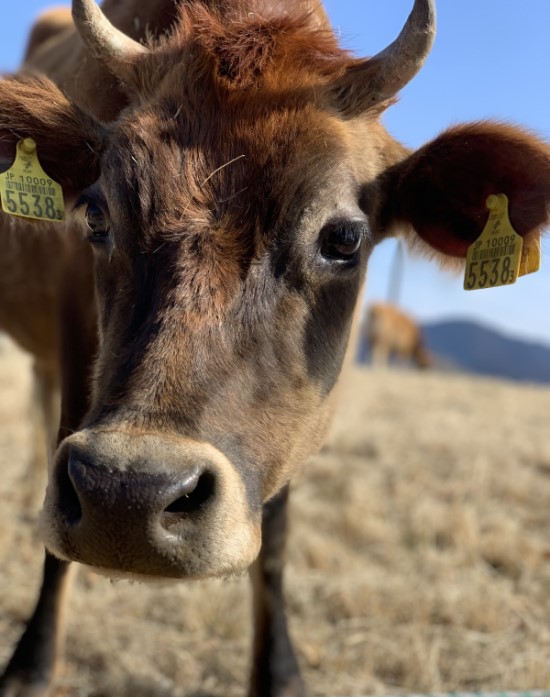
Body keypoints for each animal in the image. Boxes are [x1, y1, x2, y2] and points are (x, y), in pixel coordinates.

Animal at [1, 1, 550, 696]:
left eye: (343, 238)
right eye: (96, 215)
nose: (127, 496)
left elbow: (278, 539)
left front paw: (278, 672)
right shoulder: (78, 350)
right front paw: (32, 662)